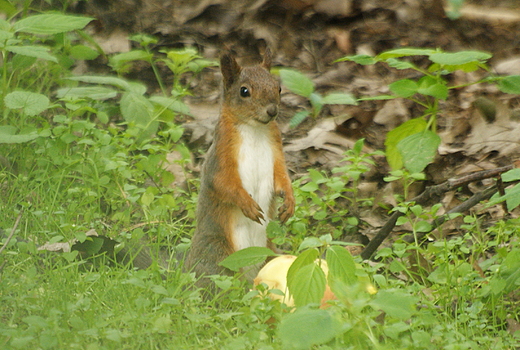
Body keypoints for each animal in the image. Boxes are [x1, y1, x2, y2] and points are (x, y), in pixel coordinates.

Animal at [185, 48, 294, 290]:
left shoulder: (276, 152)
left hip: (270, 253)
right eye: (244, 91)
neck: (254, 129)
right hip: (217, 256)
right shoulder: (220, 156)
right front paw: (248, 204)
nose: (272, 111)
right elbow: (222, 183)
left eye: (278, 87)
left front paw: (289, 203)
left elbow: (282, 177)